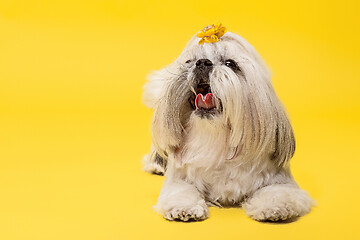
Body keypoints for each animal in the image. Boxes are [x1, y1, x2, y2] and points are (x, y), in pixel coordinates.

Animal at [142, 23, 310, 221]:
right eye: (189, 62)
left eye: (230, 64)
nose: (202, 62)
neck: (216, 140)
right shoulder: (179, 178)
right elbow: (181, 190)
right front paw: (183, 208)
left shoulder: (279, 179)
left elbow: (277, 192)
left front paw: (274, 208)